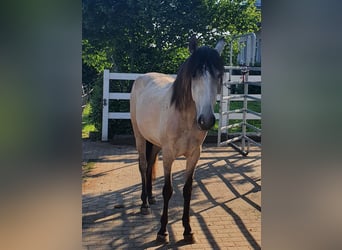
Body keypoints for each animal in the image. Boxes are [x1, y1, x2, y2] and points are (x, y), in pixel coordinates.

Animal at [130, 35, 226, 242]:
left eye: (218, 76)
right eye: (194, 75)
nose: (206, 120)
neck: (185, 118)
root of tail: (142, 77)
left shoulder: (194, 156)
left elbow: (187, 190)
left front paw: (188, 230)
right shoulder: (169, 155)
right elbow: (168, 190)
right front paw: (162, 231)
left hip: (155, 143)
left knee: (150, 165)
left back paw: (151, 197)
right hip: (139, 136)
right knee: (143, 165)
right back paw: (144, 204)